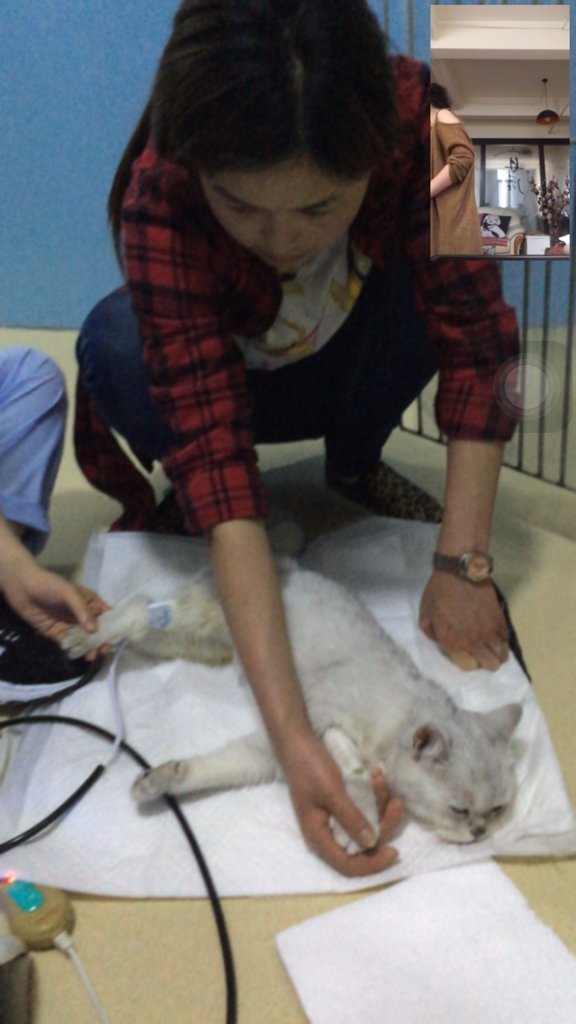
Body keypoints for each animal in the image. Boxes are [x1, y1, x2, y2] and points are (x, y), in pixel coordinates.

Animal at [62, 563, 522, 851]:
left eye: (497, 810)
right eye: (459, 809)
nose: (479, 832)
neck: (399, 710)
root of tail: (288, 566)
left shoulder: (269, 751)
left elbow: (205, 769)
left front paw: (156, 781)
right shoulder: (316, 714)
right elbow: (353, 769)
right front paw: (361, 820)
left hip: (195, 644)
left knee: (143, 624)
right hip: (197, 618)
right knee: (137, 607)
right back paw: (84, 635)